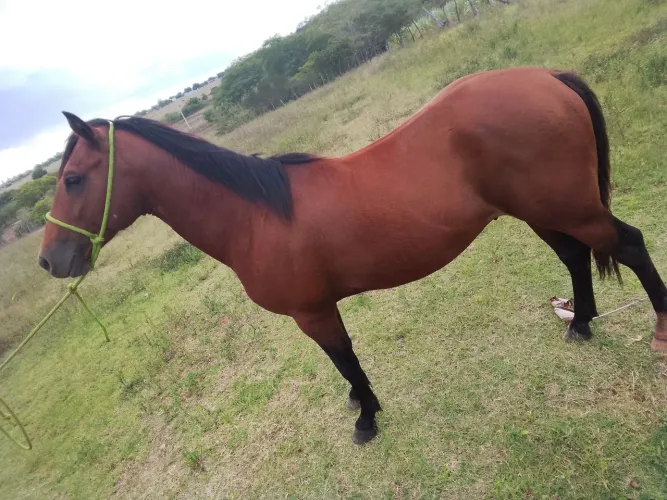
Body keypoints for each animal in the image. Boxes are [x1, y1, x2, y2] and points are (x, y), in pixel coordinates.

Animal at [39, 67, 667, 444]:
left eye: (73, 179)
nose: (50, 262)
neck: (254, 215)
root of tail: (545, 77)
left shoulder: (313, 312)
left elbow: (344, 359)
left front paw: (366, 416)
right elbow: (342, 363)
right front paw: (355, 405)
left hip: (570, 207)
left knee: (629, 245)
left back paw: (657, 330)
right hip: (543, 212)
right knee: (577, 258)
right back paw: (581, 323)